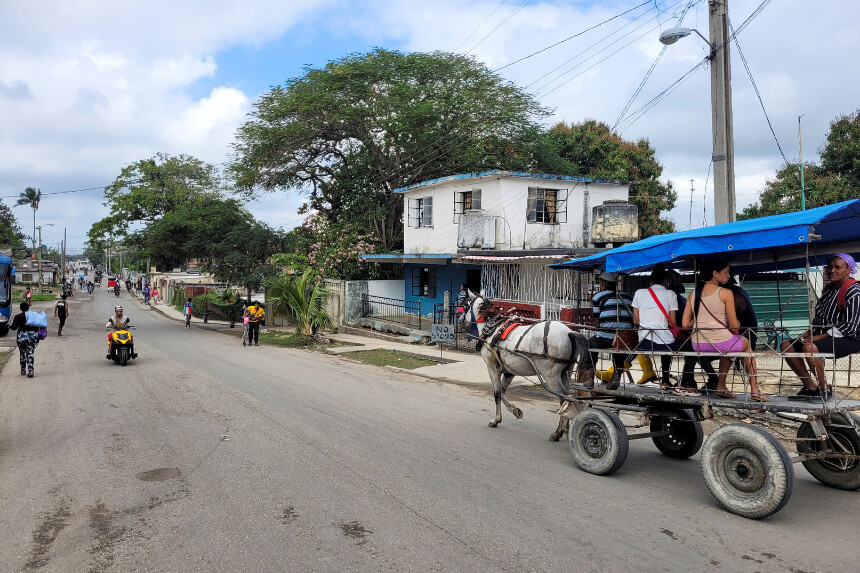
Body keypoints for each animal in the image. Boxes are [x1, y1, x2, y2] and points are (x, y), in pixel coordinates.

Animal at [464, 288, 592, 440]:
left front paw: (496, 420)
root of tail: (568, 332)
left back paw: (559, 432)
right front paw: (515, 411)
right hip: (564, 372)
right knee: (568, 397)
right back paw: (563, 430)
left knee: (564, 398)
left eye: (465, 305)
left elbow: (497, 393)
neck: (492, 329)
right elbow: (503, 392)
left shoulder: (492, 368)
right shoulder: (509, 371)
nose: (460, 320)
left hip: (550, 375)